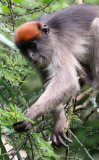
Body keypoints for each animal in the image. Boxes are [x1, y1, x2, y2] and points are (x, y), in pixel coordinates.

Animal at [13, 3, 99, 146]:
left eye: (32, 46)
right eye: (25, 50)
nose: (31, 57)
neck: (50, 36)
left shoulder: (57, 47)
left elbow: (67, 82)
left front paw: (31, 115)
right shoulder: (39, 62)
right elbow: (48, 83)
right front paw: (59, 124)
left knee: (96, 24)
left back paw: (93, 80)